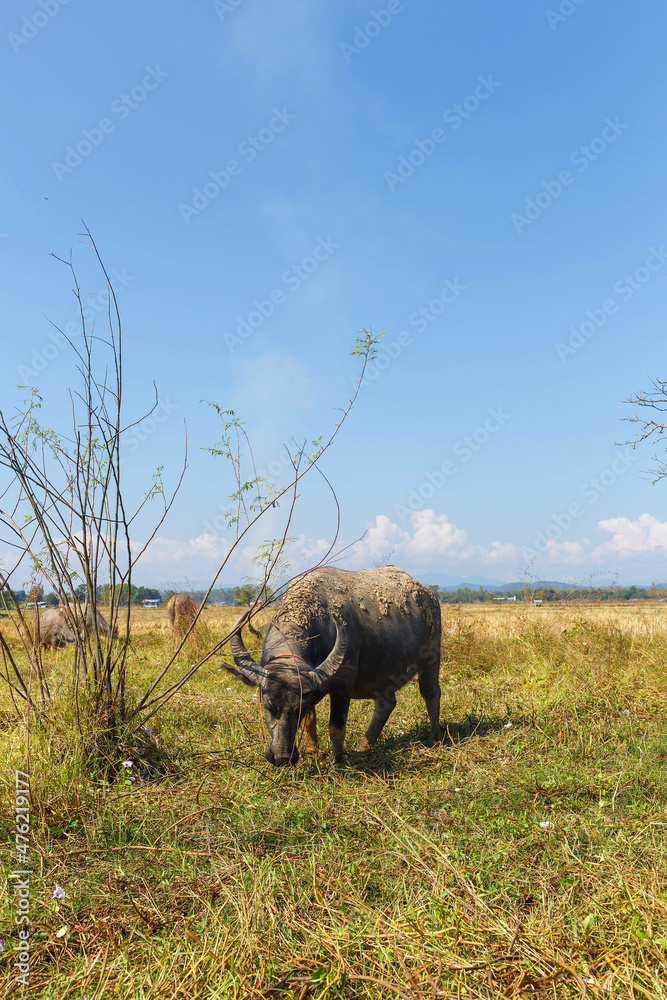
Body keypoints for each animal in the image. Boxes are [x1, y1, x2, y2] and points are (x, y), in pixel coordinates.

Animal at [221, 566, 442, 765]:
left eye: (298, 708)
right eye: (268, 706)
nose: (282, 758)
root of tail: (428, 595)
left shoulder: (341, 685)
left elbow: (336, 728)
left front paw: (338, 763)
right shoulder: (312, 687)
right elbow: (310, 720)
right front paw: (312, 752)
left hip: (432, 659)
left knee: (431, 694)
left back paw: (435, 739)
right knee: (386, 703)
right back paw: (364, 746)